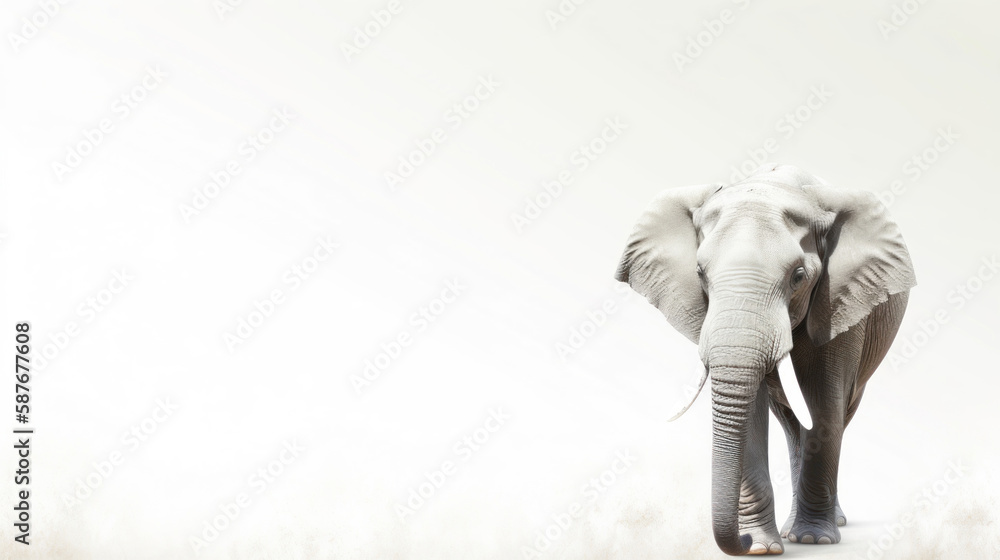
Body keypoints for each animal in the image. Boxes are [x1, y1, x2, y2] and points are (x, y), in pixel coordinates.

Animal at [614, 164, 915, 555]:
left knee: (837, 415)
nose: (740, 540)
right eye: (699, 274)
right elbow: (752, 414)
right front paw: (762, 547)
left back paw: (826, 526)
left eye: (798, 276)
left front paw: (814, 540)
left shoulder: (838, 301)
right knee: (790, 424)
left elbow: (823, 404)